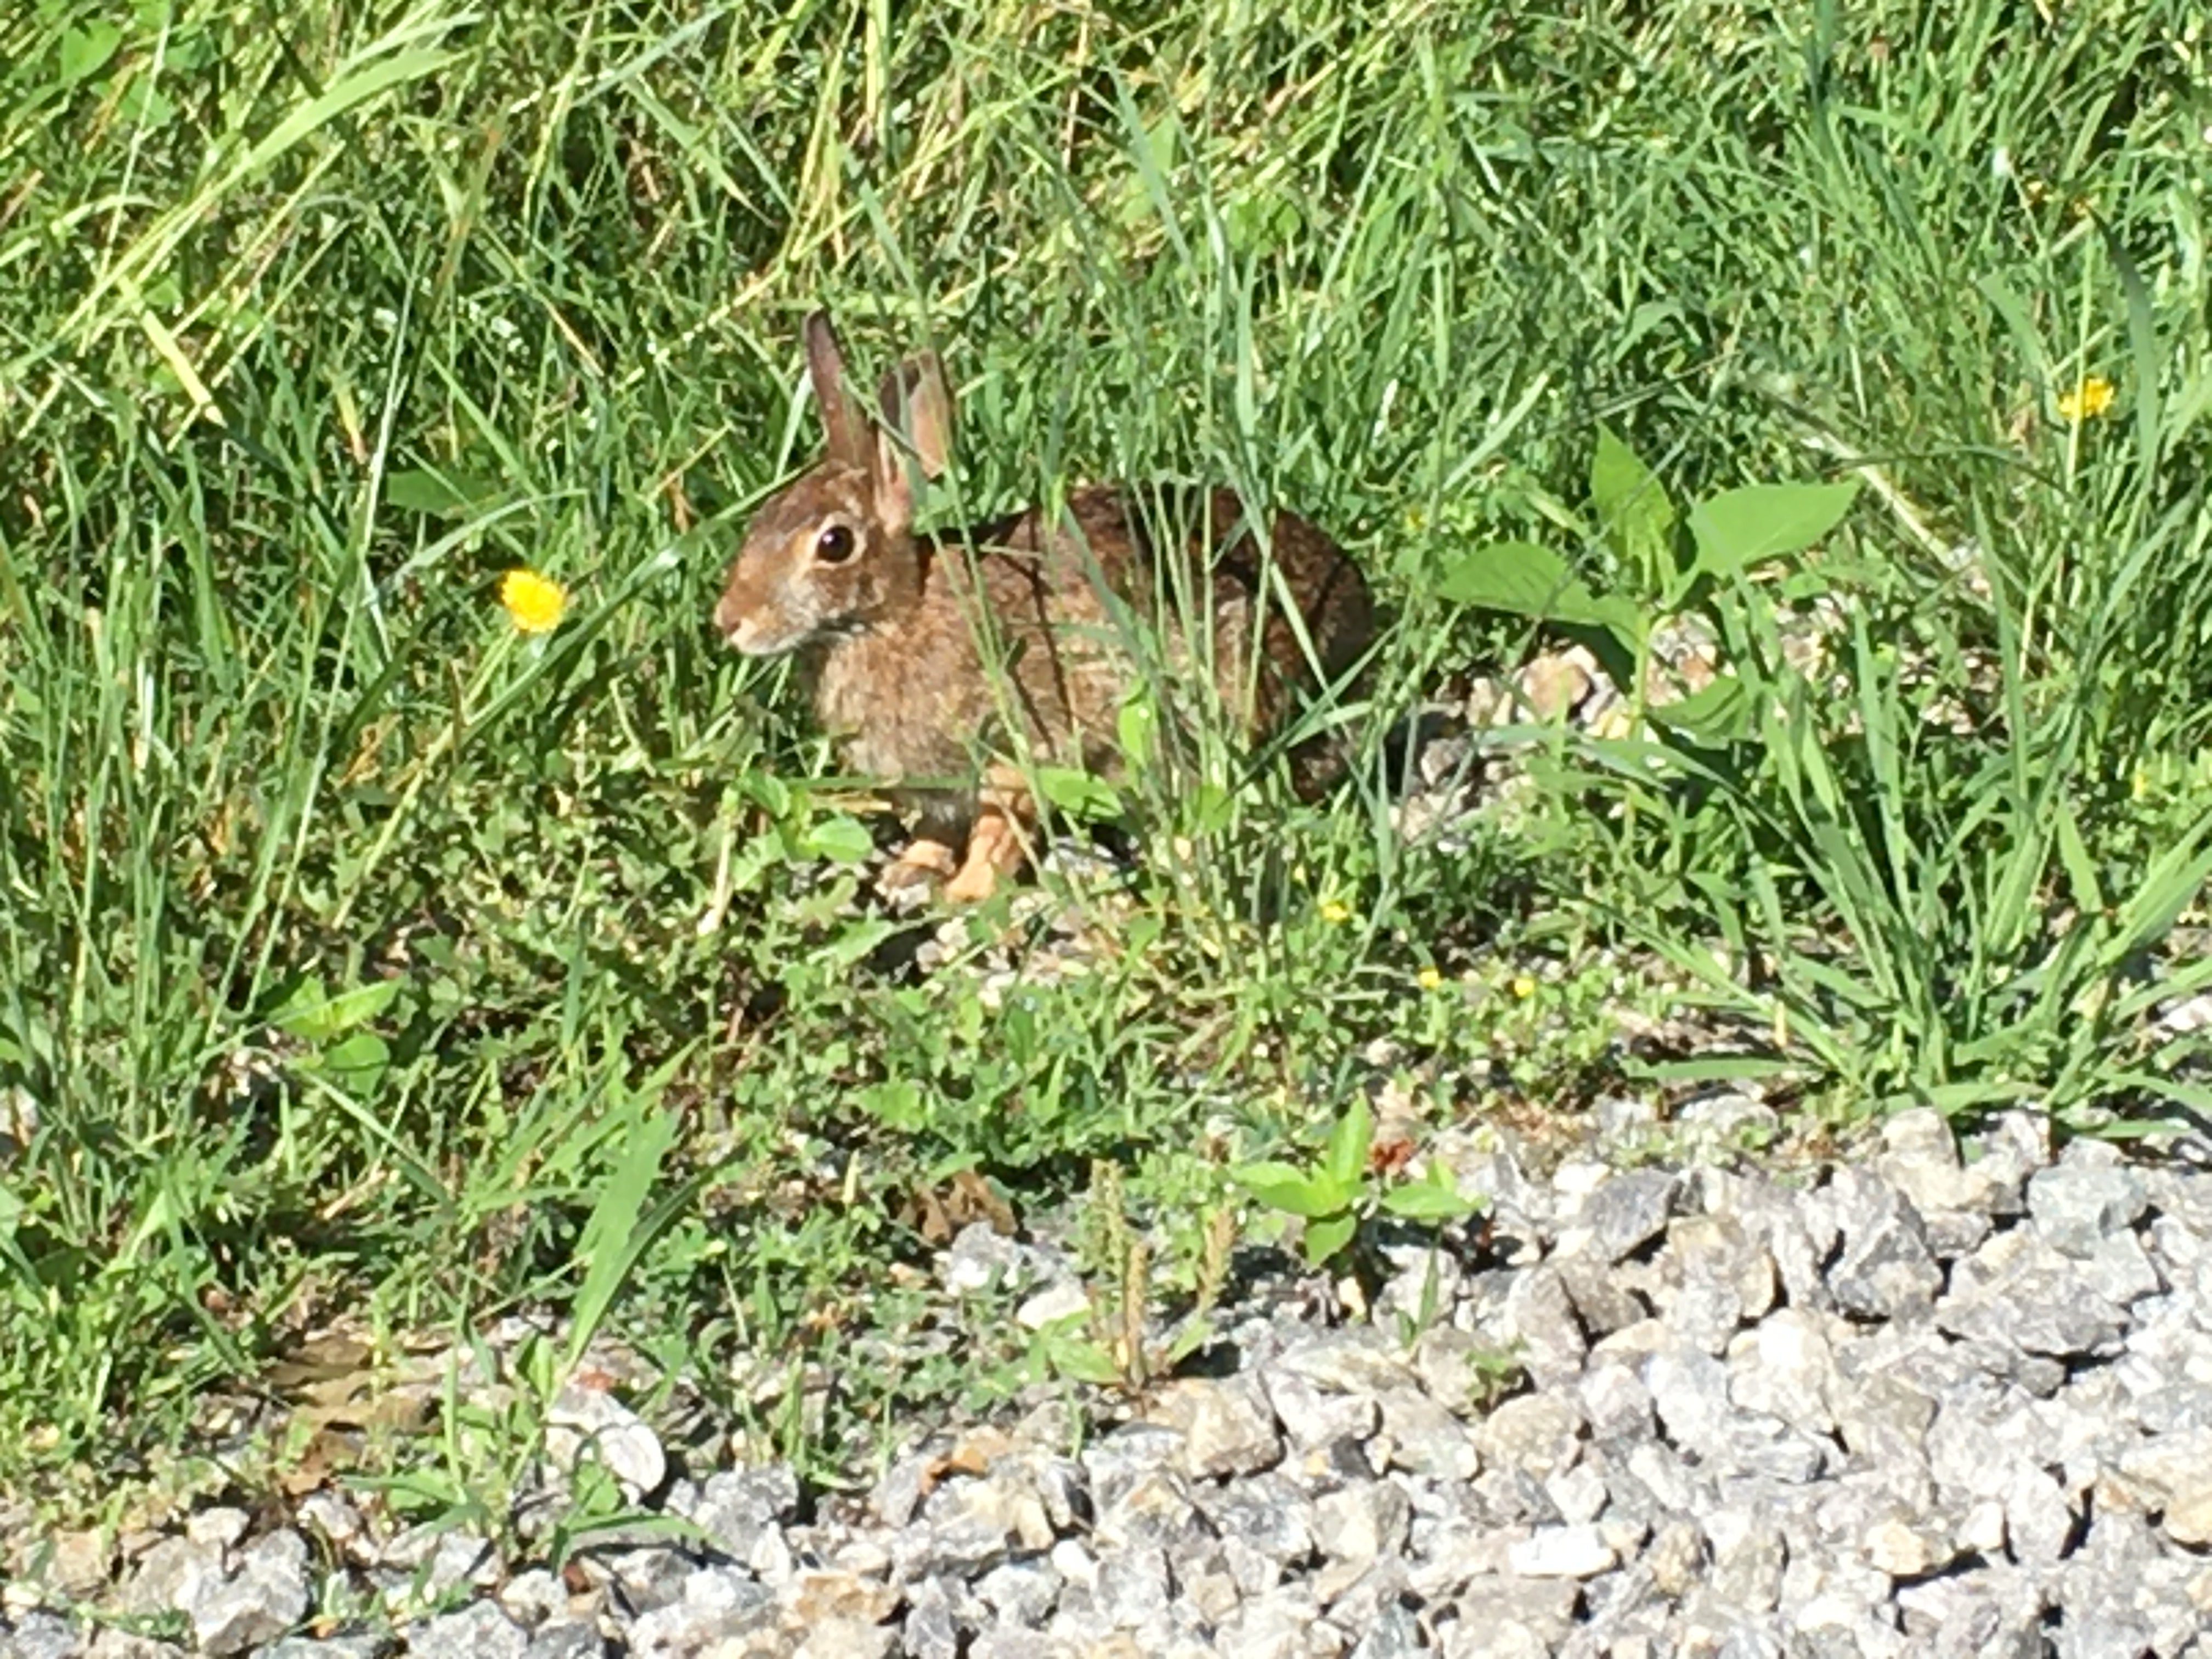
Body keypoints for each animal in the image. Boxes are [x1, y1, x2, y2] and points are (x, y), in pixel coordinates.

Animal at [712, 310, 1374, 901]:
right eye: (762, 519)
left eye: (834, 544)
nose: (729, 622)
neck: (890, 619)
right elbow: (936, 831)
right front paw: (909, 872)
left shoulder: (1016, 753)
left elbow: (997, 831)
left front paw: (965, 895)